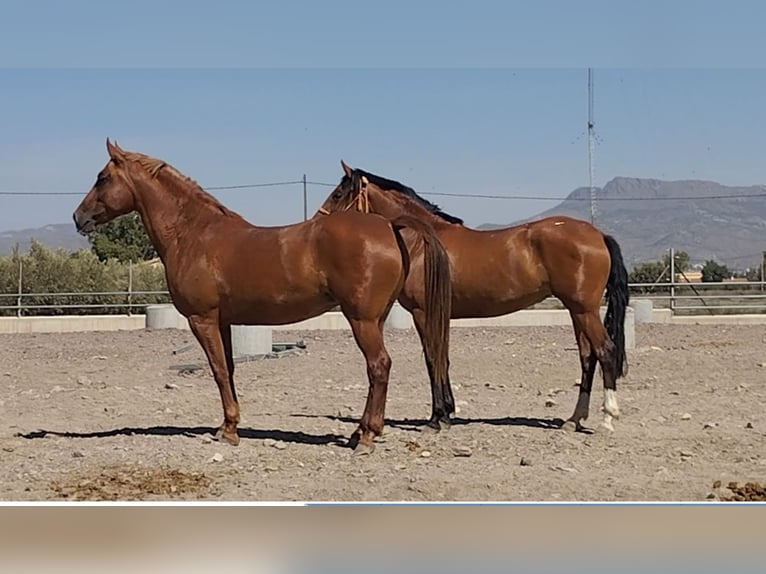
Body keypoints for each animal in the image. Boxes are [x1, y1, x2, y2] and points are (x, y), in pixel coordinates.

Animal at [73, 142, 452, 456]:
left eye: (102, 178)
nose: (79, 217)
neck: (194, 233)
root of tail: (389, 226)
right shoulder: (224, 321)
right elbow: (230, 368)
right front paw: (228, 425)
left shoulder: (202, 319)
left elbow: (218, 371)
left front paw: (228, 432)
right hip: (376, 318)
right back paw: (361, 433)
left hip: (363, 320)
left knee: (379, 366)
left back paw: (367, 437)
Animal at [318, 161, 632, 432]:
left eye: (337, 194)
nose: (317, 223)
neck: (422, 241)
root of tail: (598, 234)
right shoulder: (438, 314)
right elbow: (442, 358)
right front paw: (446, 413)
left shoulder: (423, 311)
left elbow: (432, 358)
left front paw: (436, 419)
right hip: (576, 310)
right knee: (588, 357)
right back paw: (574, 419)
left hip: (584, 310)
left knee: (606, 351)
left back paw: (608, 418)